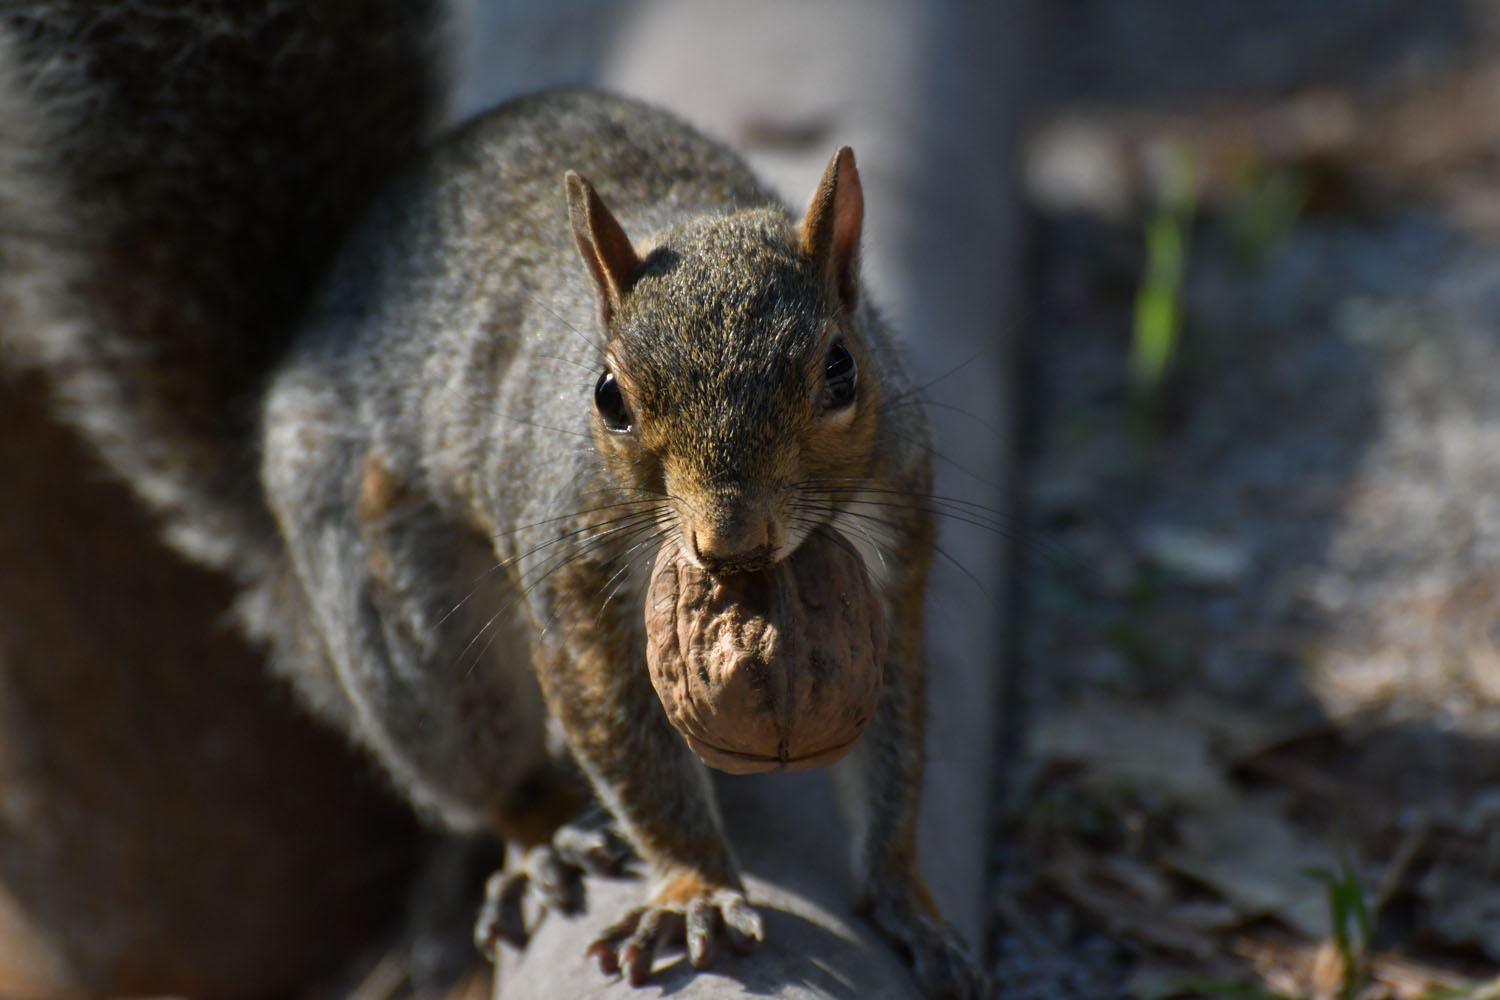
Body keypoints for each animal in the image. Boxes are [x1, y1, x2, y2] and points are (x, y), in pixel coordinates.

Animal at [2, 3, 984, 995]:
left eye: (841, 370)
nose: (731, 540)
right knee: (483, 766)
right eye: (608, 397)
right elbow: (622, 736)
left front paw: (902, 894)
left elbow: (895, 736)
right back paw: (543, 829)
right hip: (405, 625)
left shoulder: (895, 548)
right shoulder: (571, 576)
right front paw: (695, 888)